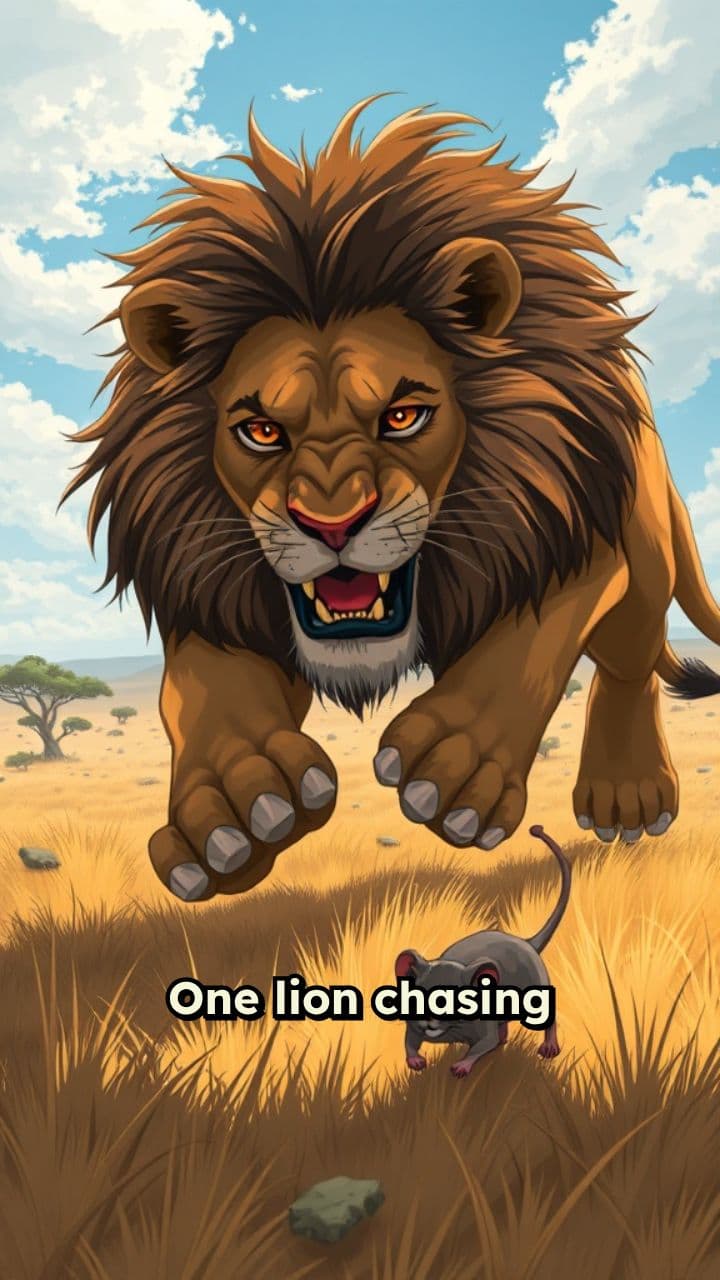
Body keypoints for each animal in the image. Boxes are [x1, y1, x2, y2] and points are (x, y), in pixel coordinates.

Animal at [64, 98, 720, 902]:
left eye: (404, 416)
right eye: (261, 431)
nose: (331, 524)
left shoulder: (572, 526)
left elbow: (532, 635)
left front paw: (455, 762)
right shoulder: (206, 581)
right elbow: (207, 686)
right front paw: (237, 802)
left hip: (647, 544)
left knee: (633, 656)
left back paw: (627, 790)